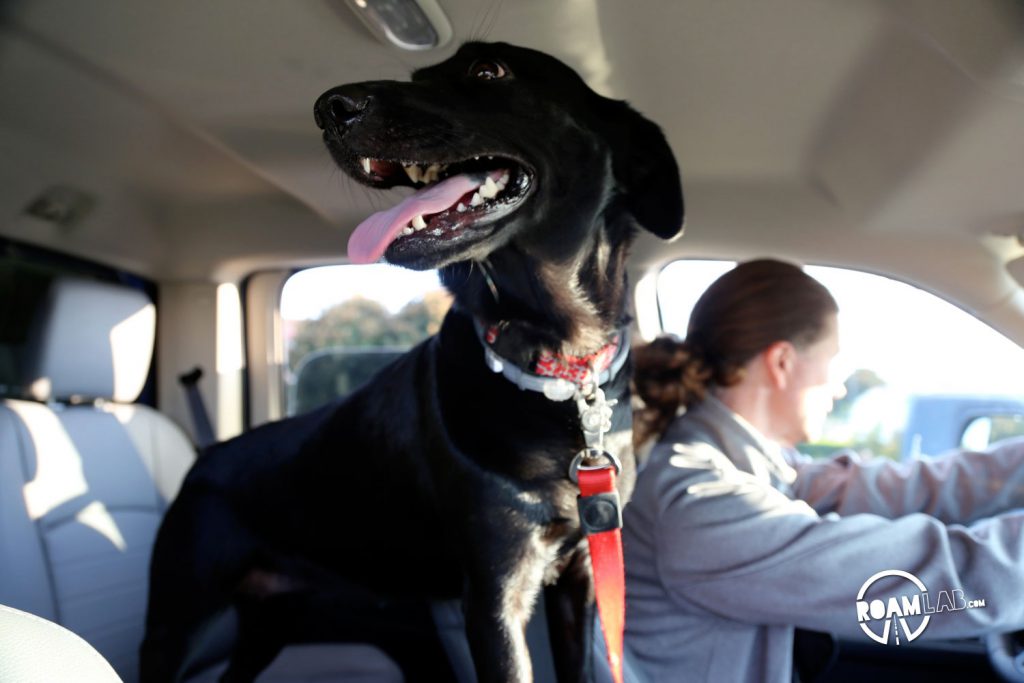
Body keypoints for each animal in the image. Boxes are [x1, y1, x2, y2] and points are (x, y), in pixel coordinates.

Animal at [136, 42, 679, 683]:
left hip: (272, 622)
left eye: (488, 70)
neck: (558, 374)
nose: (329, 108)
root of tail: (204, 456)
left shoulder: (581, 580)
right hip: (175, 622)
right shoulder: (495, 596)